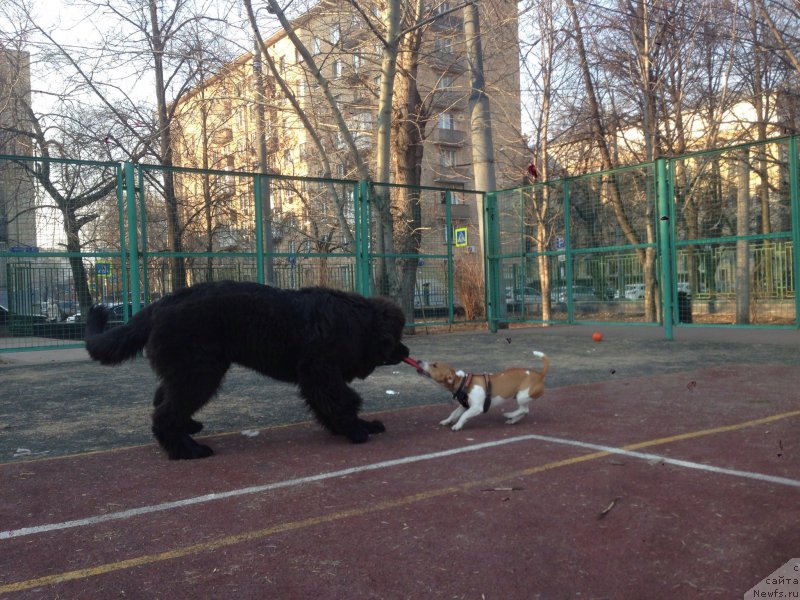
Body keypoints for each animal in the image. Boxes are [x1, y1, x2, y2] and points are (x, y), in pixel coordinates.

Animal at [86, 282, 410, 460]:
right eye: (396, 337)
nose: (406, 351)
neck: (359, 322)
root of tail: (158, 305)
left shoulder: (318, 377)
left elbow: (333, 404)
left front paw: (356, 426)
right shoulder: (320, 372)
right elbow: (342, 401)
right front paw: (356, 430)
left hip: (188, 370)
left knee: (163, 401)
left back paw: (188, 430)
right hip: (200, 373)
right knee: (164, 414)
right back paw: (187, 451)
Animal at [418, 352, 552, 432]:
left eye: (434, 365)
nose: (419, 361)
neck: (463, 382)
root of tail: (540, 375)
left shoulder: (476, 408)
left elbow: (463, 416)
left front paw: (458, 425)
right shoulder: (465, 406)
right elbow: (454, 414)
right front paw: (447, 421)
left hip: (522, 396)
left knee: (524, 410)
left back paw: (509, 414)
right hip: (520, 397)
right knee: (524, 411)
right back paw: (512, 419)